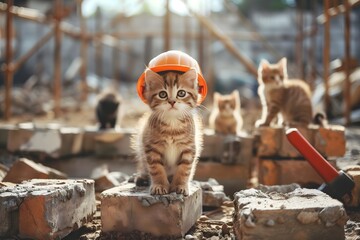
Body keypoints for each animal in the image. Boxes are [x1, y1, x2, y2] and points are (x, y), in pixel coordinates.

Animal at [133, 68, 205, 196]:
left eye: (181, 93)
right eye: (163, 94)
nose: (172, 101)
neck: (172, 125)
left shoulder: (189, 148)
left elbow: (184, 169)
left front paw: (180, 186)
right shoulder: (151, 148)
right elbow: (156, 169)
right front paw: (159, 185)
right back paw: (142, 177)